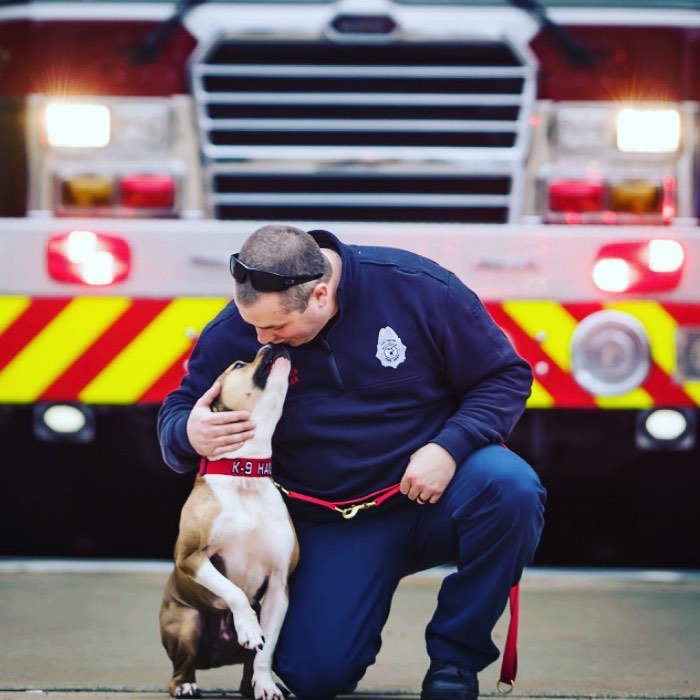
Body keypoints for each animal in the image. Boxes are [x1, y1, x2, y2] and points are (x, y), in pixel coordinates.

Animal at [160, 344, 296, 700]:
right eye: (237, 364)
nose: (273, 344)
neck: (244, 472)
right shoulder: (191, 558)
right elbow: (234, 592)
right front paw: (246, 626)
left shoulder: (278, 586)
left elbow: (265, 650)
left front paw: (265, 685)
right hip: (187, 622)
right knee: (181, 668)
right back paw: (185, 685)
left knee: (250, 664)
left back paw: (257, 685)